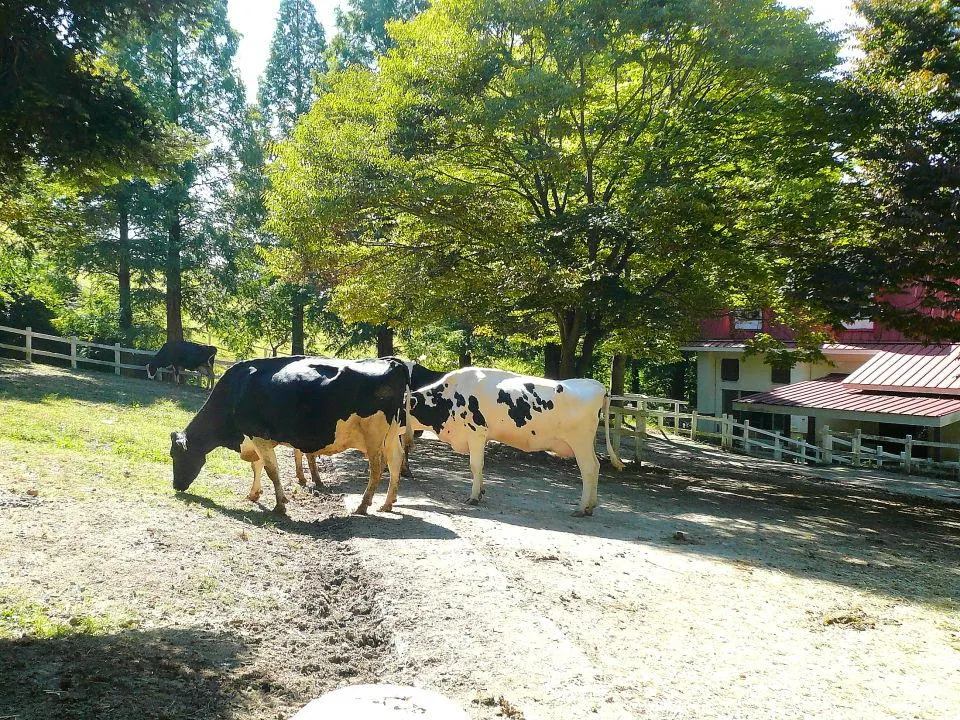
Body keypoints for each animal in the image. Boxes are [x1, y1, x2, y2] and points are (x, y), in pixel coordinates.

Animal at [169, 358, 408, 516]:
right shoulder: (255, 438)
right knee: (396, 462)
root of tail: (394, 363)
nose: (176, 486)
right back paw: (387, 504)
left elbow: (271, 470)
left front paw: (280, 505)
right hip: (392, 435)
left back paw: (363, 506)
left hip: (373, 436)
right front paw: (254, 494)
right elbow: (257, 466)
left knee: (377, 469)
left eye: (175, 456)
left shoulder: (258, 435)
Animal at [406, 368, 628, 516]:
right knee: (596, 466)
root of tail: (597, 385)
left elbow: (475, 465)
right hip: (587, 443)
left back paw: (582, 508)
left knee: (589, 469)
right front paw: (482, 491)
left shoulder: (476, 433)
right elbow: (481, 467)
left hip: (580, 441)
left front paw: (474, 497)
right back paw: (591, 505)